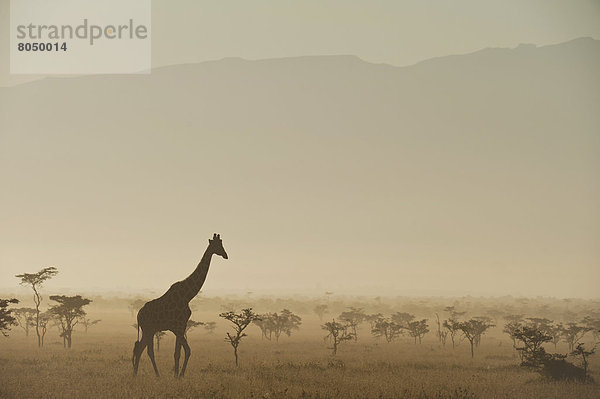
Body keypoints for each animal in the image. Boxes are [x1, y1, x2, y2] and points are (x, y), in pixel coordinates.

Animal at [132, 233, 227, 376]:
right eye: (217, 245)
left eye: (221, 243)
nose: (226, 255)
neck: (187, 296)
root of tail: (138, 314)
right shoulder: (178, 326)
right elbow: (183, 351)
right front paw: (178, 375)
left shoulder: (181, 326)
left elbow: (181, 352)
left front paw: (177, 375)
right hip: (148, 329)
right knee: (145, 350)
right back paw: (153, 375)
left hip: (150, 330)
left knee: (141, 349)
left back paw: (138, 375)